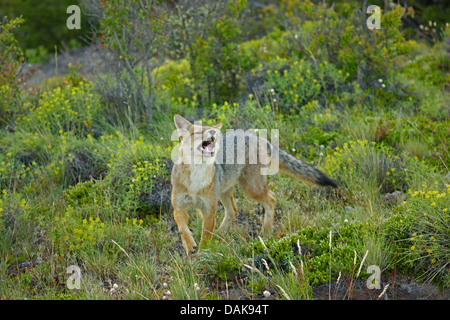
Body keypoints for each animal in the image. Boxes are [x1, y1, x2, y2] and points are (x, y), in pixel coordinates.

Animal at [171, 114, 336, 255]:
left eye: (214, 134)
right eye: (198, 132)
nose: (213, 132)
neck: (195, 181)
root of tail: (256, 137)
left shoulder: (209, 209)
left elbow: (205, 236)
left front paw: (202, 253)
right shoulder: (178, 207)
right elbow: (182, 228)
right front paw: (189, 245)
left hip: (252, 189)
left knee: (271, 200)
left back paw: (266, 232)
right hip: (226, 192)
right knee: (233, 210)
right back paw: (219, 234)